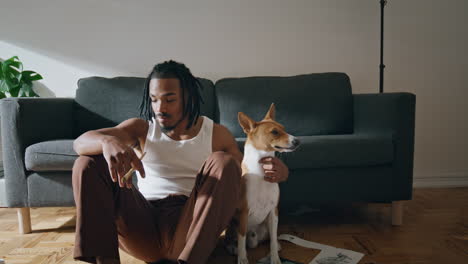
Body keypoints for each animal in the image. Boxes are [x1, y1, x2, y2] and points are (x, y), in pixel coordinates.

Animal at [226, 103, 300, 264]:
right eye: (274, 132)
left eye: (284, 128)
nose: (298, 141)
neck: (260, 172)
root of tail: (255, 238)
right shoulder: (243, 214)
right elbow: (241, 241)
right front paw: (242, 258)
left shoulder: (273, 212)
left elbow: (272, 241)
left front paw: (275, 258)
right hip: (233, 224)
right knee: (236, 240)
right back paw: (232, 247)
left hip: (267, 224)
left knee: (270, 238)